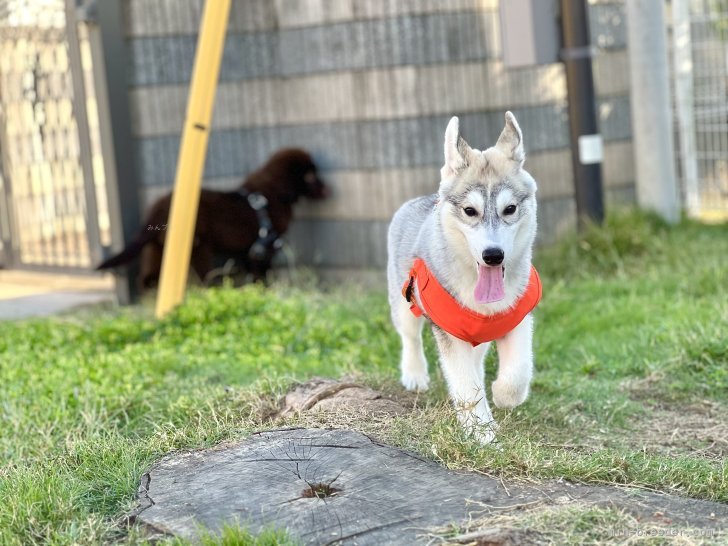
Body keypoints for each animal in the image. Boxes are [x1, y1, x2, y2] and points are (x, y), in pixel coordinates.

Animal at [96, 147, 328, 286]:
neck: (272, 193)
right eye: (310, 176)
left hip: (156, 248)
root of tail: (159, 207)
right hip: (198, 245)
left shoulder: (248, 250)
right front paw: (263, 287)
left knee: (146, 277)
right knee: (202, 274)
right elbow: (262, 270)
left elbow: (253, 270)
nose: (329, 191)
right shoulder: (265, 245)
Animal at [386, 111, 536, 442]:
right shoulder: (450, 333)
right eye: (470, 211)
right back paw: (414, 375)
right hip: (402, 301)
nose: (493, 255)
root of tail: (421, 200)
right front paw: (483, 436)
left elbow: (518, 371)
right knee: (409, 336)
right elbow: (465, 384)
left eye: (510, 209)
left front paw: (503, 395)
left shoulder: (518, 316)